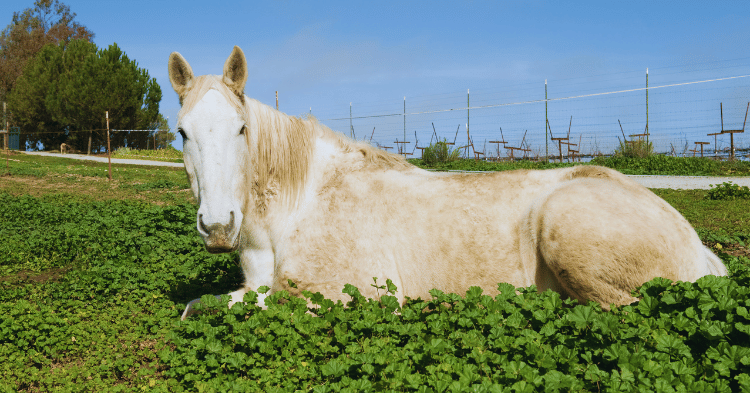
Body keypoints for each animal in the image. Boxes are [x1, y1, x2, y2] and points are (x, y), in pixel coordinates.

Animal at [170, 47, 728, 320]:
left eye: (242, 129)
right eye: (182, 133)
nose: (217, 227)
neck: (302, 205)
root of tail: (694, 244)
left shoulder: (350, 296)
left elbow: (212, 307)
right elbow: (202, 305)